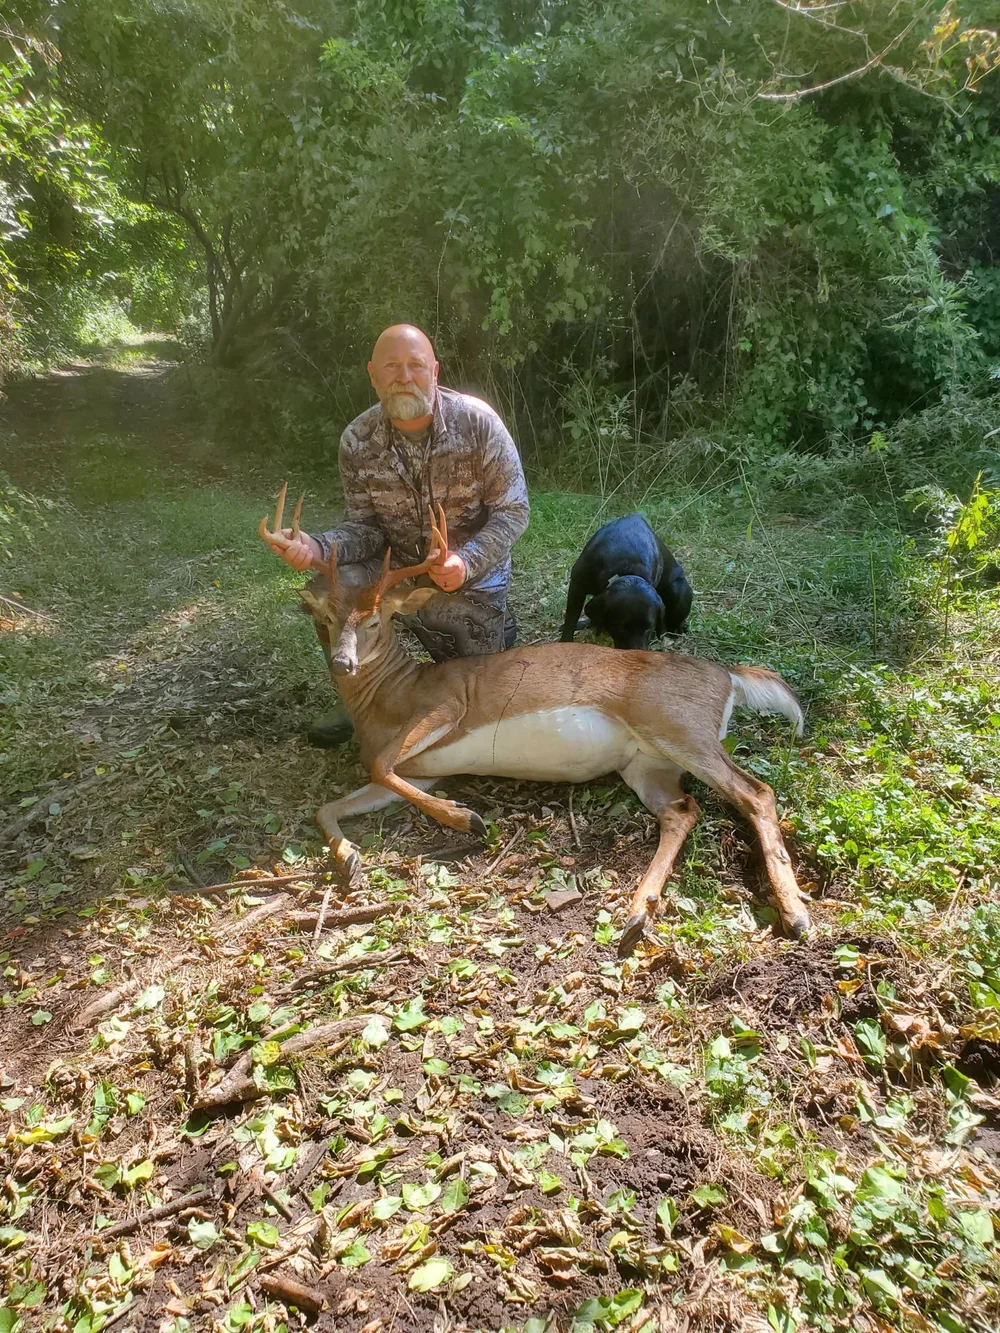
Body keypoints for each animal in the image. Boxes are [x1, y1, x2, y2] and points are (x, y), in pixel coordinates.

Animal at [260, 485, 811, 955]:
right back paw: (638, 916)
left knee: (756, 793)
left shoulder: (448, 706)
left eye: (377, 620)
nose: (343, 663)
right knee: (682, 811)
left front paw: (466, 817)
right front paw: (350, 857)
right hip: (646, 763)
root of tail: (728, 676)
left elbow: (378, 765)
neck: (391, 697)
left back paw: (797, 915)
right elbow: (331, 804)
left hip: (679, 726)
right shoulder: (422, 770)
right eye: (327, 621)